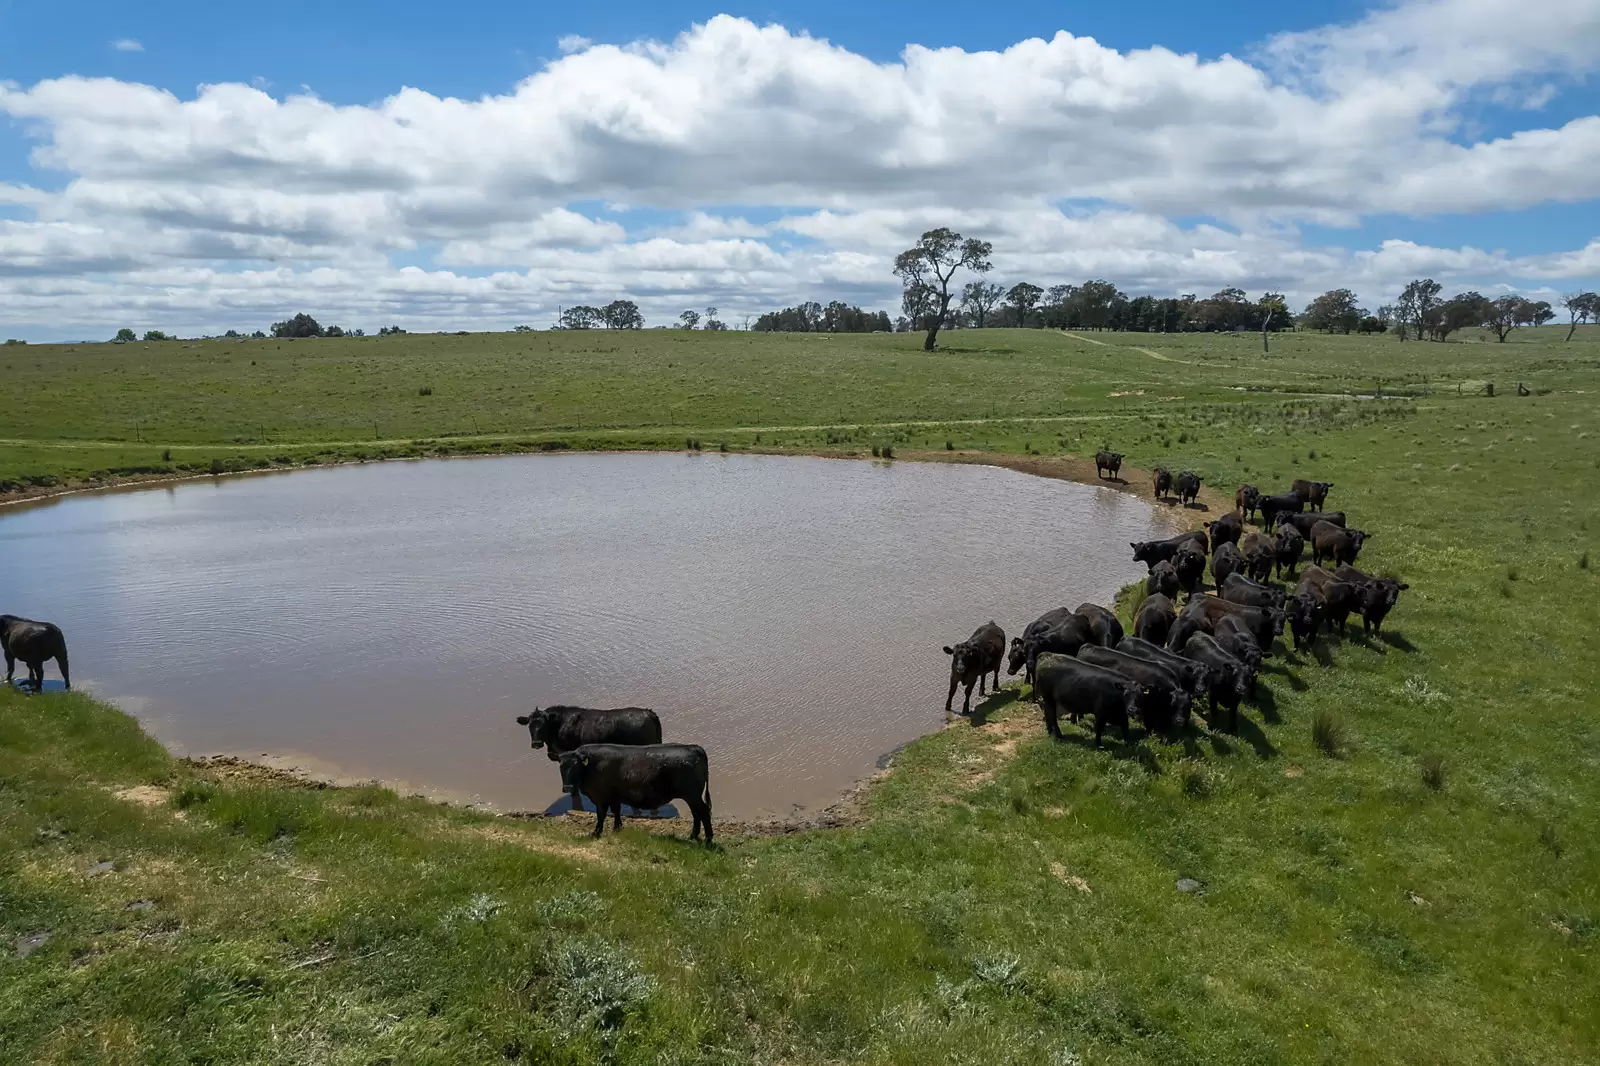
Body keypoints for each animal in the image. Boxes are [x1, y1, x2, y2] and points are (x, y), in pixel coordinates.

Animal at [563, 742, 713, 845]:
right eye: (561, 766)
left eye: (575, 766)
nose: (567, 788)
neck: (591, 766)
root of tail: (694, 747)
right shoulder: (614, 796)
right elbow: (616, 811)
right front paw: (617, 829)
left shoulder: (601, 796)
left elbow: (601, 814)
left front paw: (596, 833)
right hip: (692, 796)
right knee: (696, 813)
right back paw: (693, 836)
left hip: (692, 795)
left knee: (703, 811)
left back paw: (708, 839)